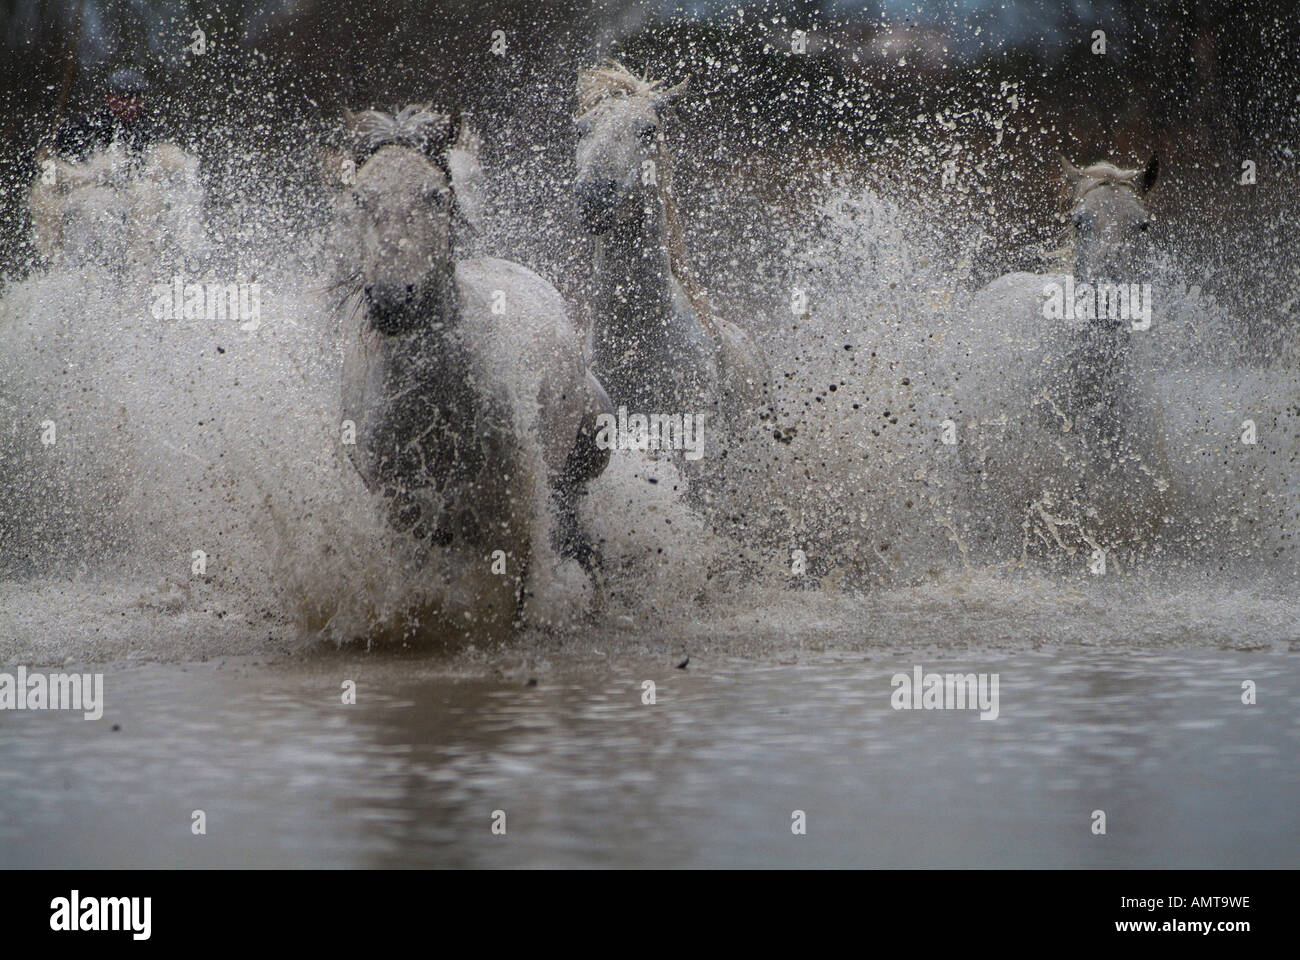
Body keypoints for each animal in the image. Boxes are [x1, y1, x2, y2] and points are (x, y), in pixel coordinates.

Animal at [340, 106, 613, 629]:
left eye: (435, 194)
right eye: (360, 198)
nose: (392, 300)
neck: (438, 407)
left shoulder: (511, 517)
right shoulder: (404, 517)